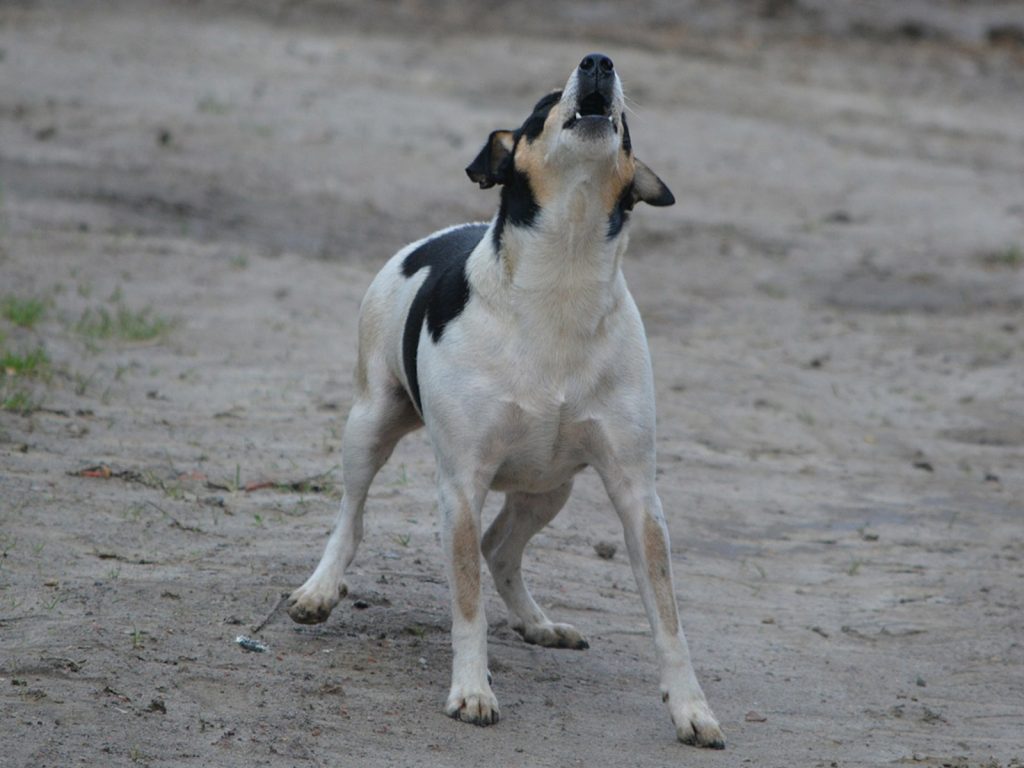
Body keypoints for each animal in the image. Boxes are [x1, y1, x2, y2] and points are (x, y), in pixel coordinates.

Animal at [284, 54, 724, 753]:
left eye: (626, 123)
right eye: (544, 104)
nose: (598, 62)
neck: (563, 279)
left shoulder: (636, 492)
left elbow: (668, 617)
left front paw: (690, 708)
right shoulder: (461, 485)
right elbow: (466, 602)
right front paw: (472, 690)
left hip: (549, 487)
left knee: (501, 549)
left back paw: (538, 622)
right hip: (369, 424)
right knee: (351, 518)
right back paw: (320, 589)